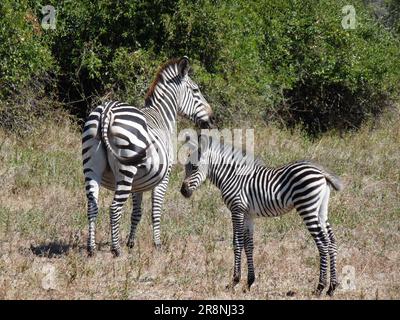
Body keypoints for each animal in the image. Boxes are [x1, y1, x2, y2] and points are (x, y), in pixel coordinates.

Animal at [81, 57, 216, 258]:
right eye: (196, 91)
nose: (212, 119)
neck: (162, 116)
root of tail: (107, 110)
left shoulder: (138, 183)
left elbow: (137, 212)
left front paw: (131, 243)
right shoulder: (164, 177)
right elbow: (156, 211)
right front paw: (157, 244)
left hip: (92, 167)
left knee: (92, 206)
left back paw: (91, 248)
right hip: (126, 170)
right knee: (114, 208)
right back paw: (116, 250)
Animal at [181, 134, 344, 296]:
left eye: (195, 167)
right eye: (185, 167)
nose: (183, 191)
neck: (231, 176)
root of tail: (321, 172)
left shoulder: (237, 210)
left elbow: (237, 243)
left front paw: (234, 281)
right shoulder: (248, 215)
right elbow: (248, 244)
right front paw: (249, 282)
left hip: (307, 207)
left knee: (322, 242)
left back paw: (320, 287)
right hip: (321, 210)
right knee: (331, 241)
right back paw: (332, 287)